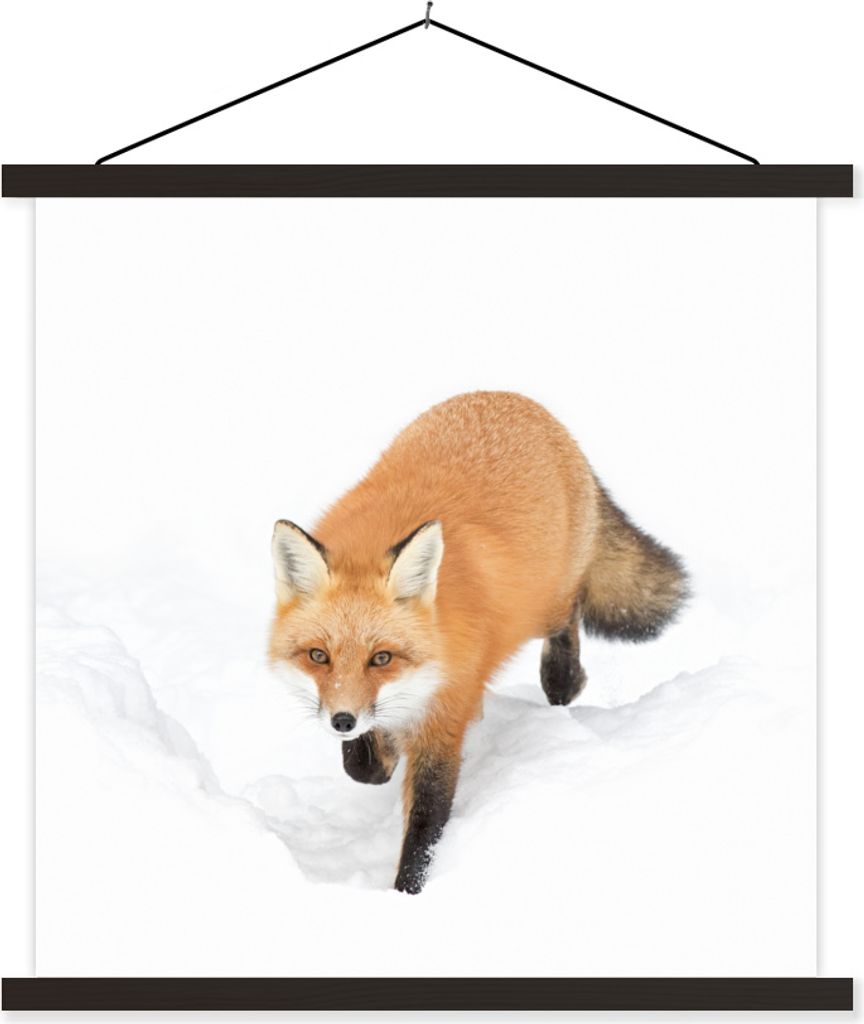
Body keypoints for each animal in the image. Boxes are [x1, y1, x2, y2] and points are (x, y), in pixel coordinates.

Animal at [268, 391, 688, 893]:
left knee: (571, 612)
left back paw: (565, 679)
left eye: (381, 658)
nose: (342, 721)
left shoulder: (446, 719)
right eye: (319, 656)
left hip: (543, 603)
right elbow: (365, 766)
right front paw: (380, 753)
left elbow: (426, 826)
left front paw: (408, 893)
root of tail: (515, 399)